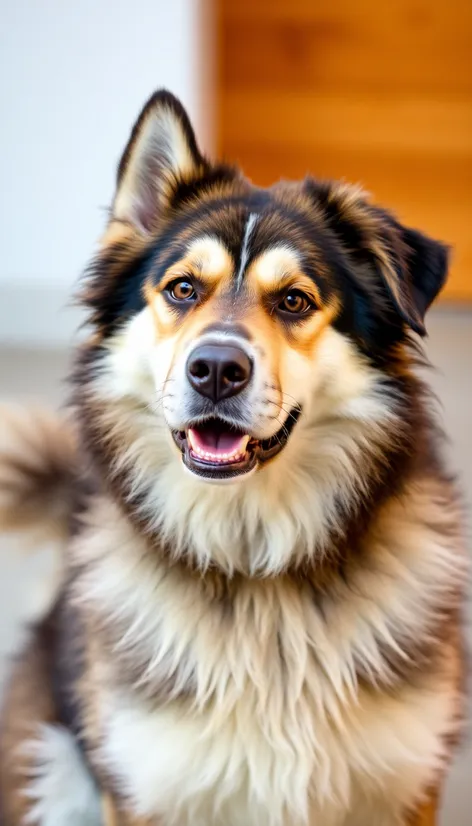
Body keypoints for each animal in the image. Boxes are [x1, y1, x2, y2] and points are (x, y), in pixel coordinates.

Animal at [0, 90, 466, 824]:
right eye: (183, 290)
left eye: (295, 300)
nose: (216, 369)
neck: (254, 569)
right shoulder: (144, 788)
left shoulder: (407, 784)